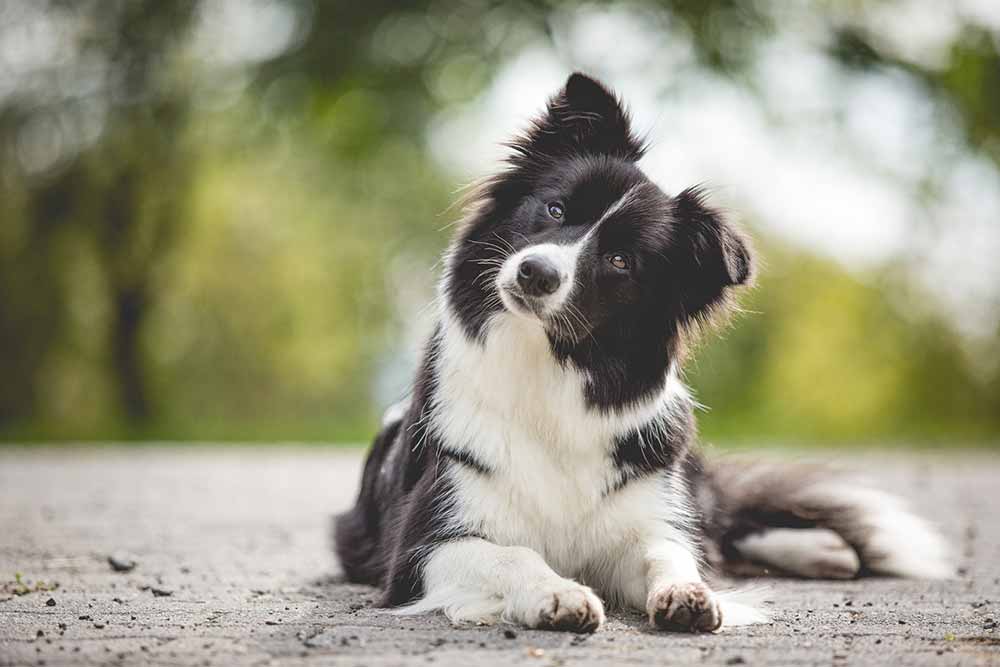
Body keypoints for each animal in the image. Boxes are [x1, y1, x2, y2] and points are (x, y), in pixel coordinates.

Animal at [332, 73, 948, 636]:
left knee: (716, 528)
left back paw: (823, 550)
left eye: (620, 261)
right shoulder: (426, 546)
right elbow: (515, 555)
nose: (535, 272)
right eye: (555, 211)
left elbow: (666, 552)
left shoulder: (644, 516)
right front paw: (557, 593)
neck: (548, 368)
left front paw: (690, 592)